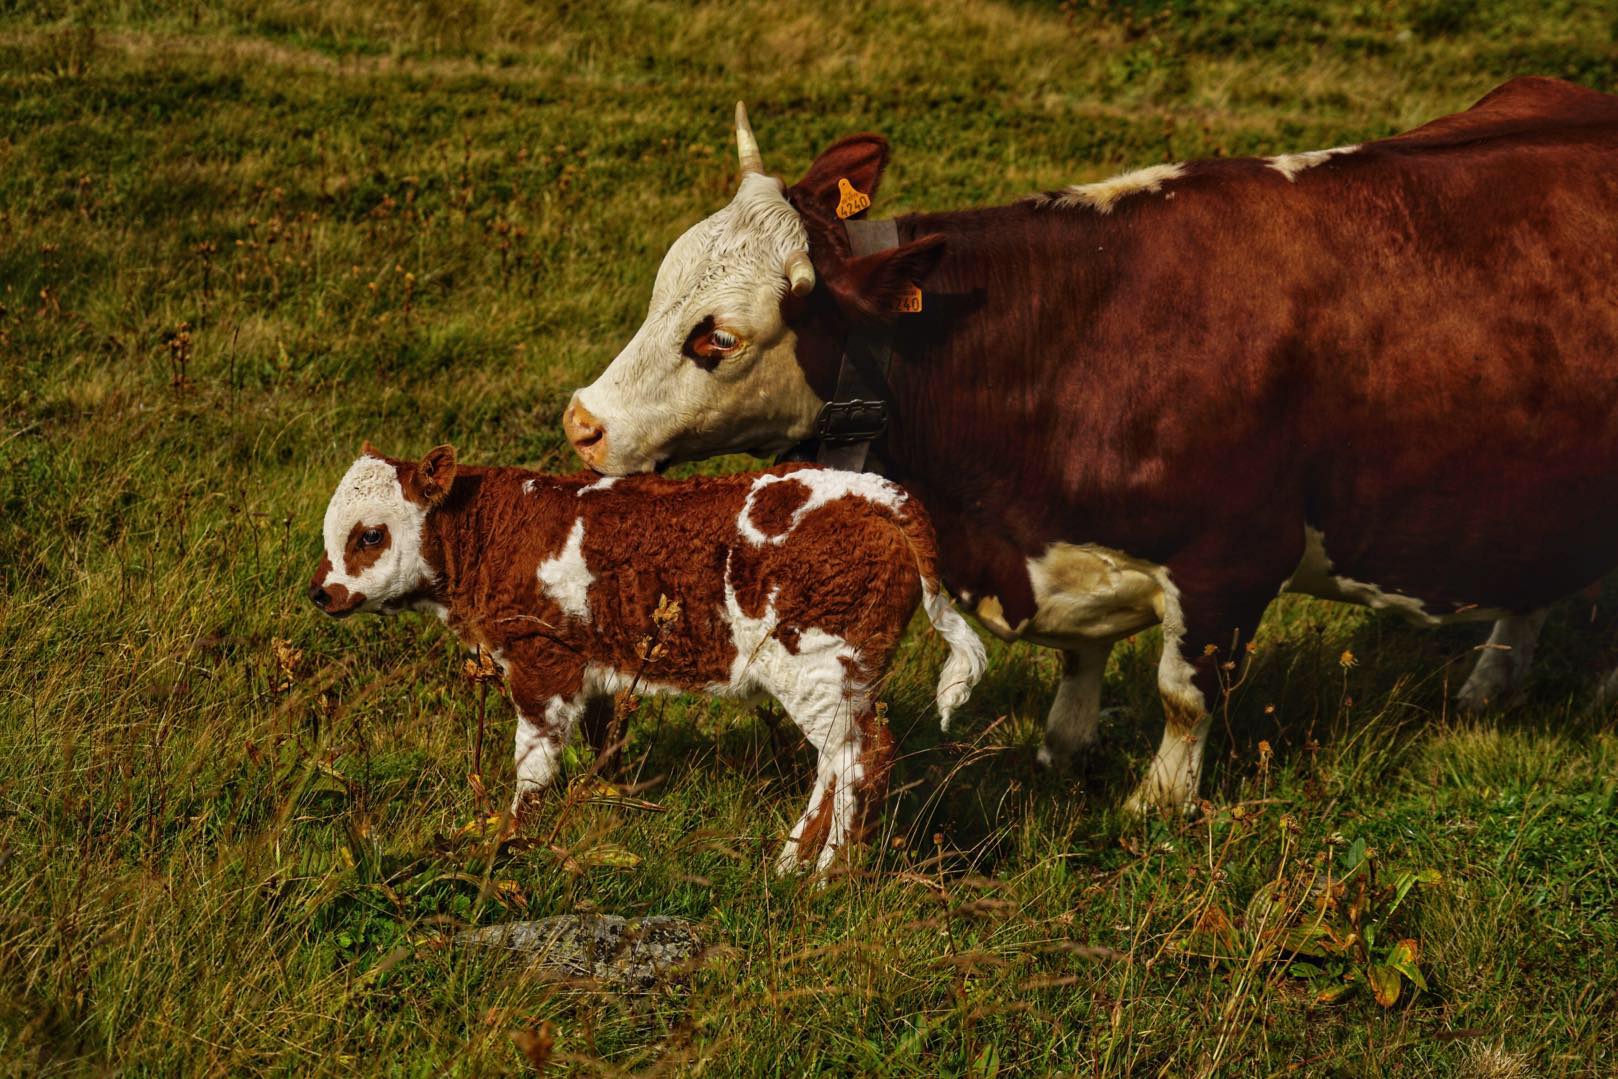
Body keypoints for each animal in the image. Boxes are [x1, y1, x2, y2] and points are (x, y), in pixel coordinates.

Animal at [304, 443, 983, 873]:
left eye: (370, 535)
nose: (321, 591)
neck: (495, 530)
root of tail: (882, 497)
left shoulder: (542, 660)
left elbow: (532, 764)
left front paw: (510, 838)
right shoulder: (595, 667)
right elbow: (599, 747)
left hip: (819, 663)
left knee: (860, 758)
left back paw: (824, 876)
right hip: (840, 676)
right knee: (837, 763)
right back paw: (790, 864)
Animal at [563, 78, 1618, 818]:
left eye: (717, 337)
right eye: (661, 286)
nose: (583, 421)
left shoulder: (1233, 558)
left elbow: (1185, 694)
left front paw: (1158, 802)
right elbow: (1081, 661)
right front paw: (1062, 752)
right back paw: (1490, 684)